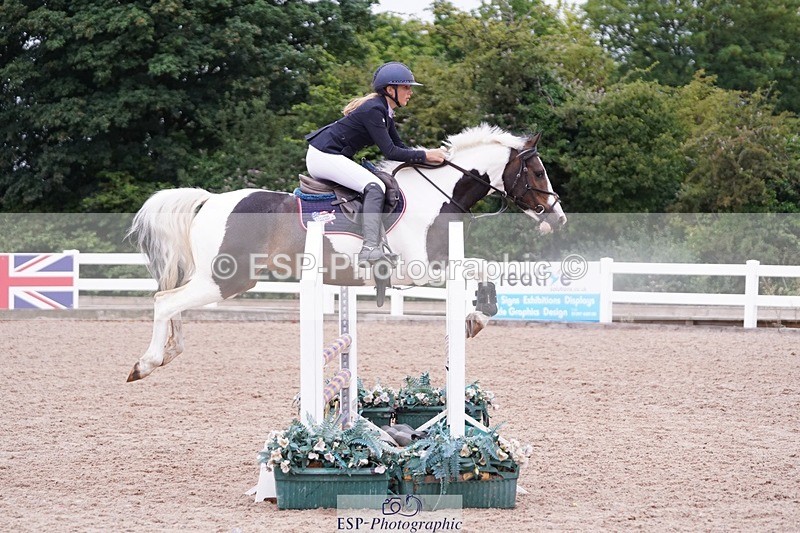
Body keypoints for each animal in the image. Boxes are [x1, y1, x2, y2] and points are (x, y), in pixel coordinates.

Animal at [126, 123, 567, 382]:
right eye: (537, 171)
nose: (558, 216)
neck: (437, 195)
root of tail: (210, 200)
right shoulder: (422, 268)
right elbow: (482, 268)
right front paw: (477, 317)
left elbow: (485, 271)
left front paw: (475, 318)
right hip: (226, 278)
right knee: (165, 301)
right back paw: (146, 363)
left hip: (217, 277)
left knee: (172, 300)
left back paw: (169, 354)